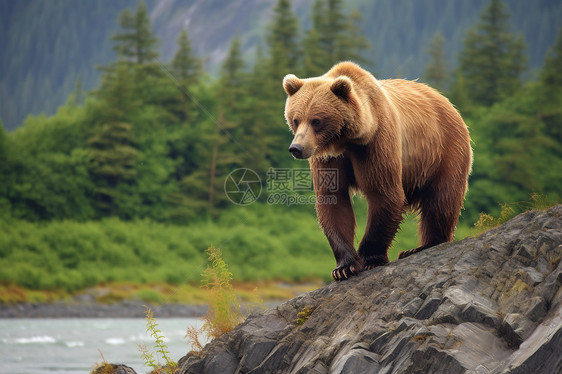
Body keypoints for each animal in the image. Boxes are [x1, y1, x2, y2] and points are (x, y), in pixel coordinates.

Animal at [282, 61, 470, 280]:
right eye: (296, 119)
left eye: (316, 120)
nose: (296, 148)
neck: (347, 140)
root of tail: (445, 100)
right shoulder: (328, 158)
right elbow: (334, 200)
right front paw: (344, 267)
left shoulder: (376, 143)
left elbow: (384, 193)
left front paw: (370, 259)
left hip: (444, 150)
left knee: (442, 198)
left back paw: (422, 246)